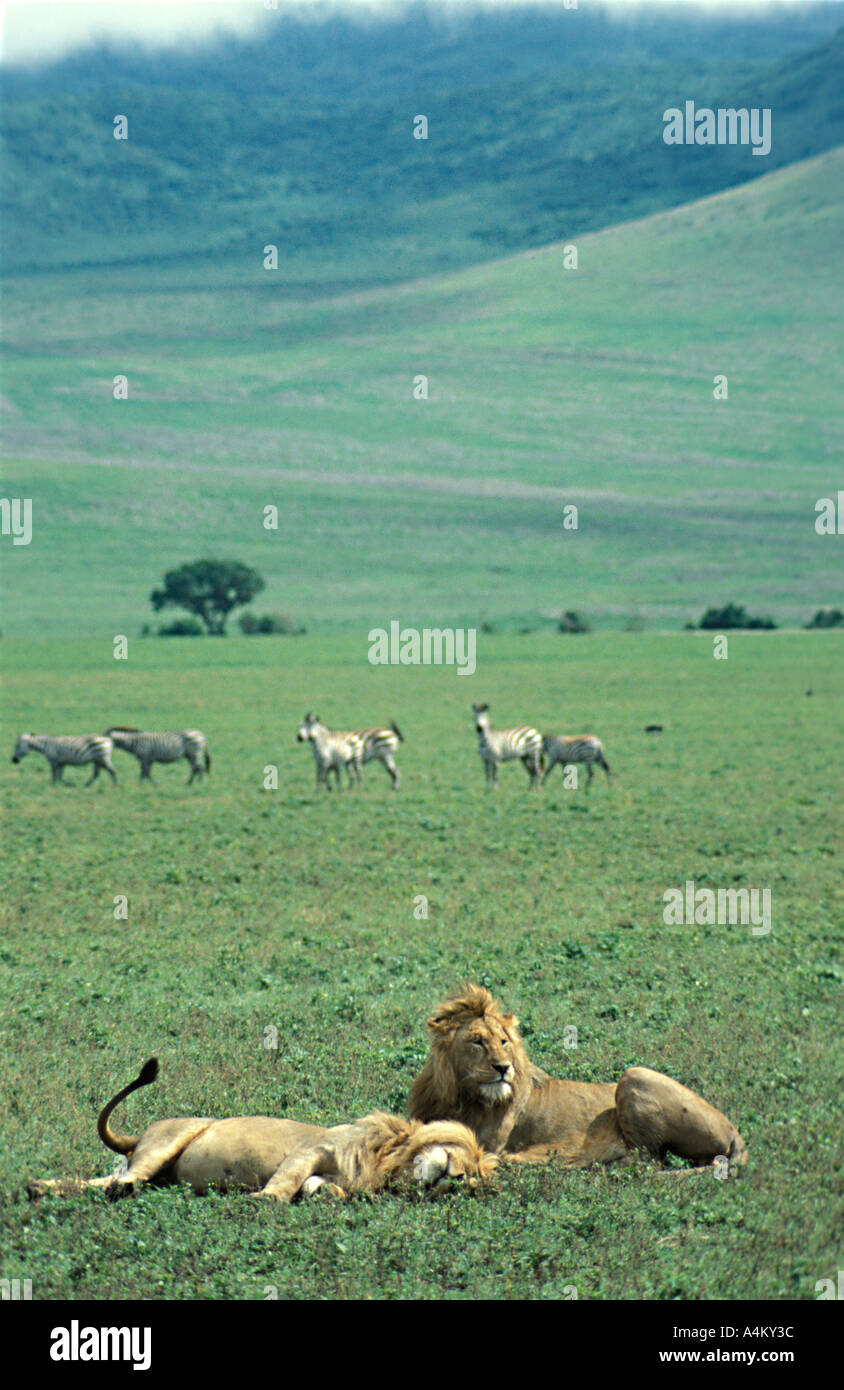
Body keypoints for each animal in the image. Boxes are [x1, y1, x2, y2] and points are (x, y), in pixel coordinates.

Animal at [29, 1056, 497, 1200]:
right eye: (463, 1163)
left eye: (473, 1181)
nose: (457, 1180)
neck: (388, 1160)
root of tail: (139, 1136)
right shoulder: (314, 1148)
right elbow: (286, 1179)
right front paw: (263, 1200)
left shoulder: (328, 1173)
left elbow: (321, 1188)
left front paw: (320, 1198)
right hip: (170, 1139)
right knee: (123, 1179)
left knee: (107, 1181)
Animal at [408, 984, 745, 1167]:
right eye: (477, 1042)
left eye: (503, 1041)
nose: (504, 1068)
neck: (461, 1096)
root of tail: (734, 1131)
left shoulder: (491, 1144)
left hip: (634, 1075)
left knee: (647, 1159)